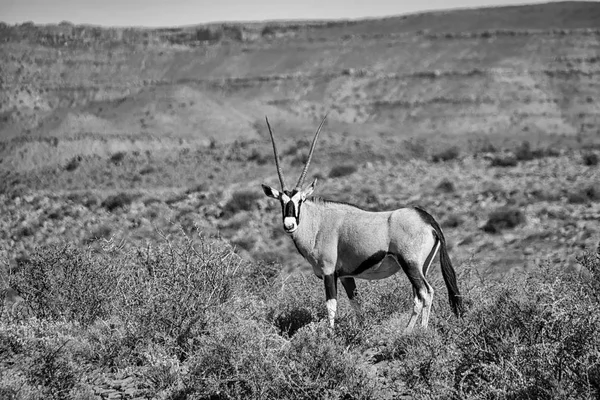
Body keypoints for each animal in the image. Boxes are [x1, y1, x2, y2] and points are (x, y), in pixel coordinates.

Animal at [262, 115, 464, 332]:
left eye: (300, 200)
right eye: (281, 201)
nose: (289, 225)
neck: (318, 224)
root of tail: (425, 217)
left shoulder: (328, 272)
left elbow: (331, 306)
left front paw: (330, 335)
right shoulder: (346, 276)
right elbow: (356, 305)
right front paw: (361, 330)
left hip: (410, 263)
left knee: (425, 293)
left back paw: (415, 332)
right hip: (420, 267)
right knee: (421, 295)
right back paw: (413, 330)